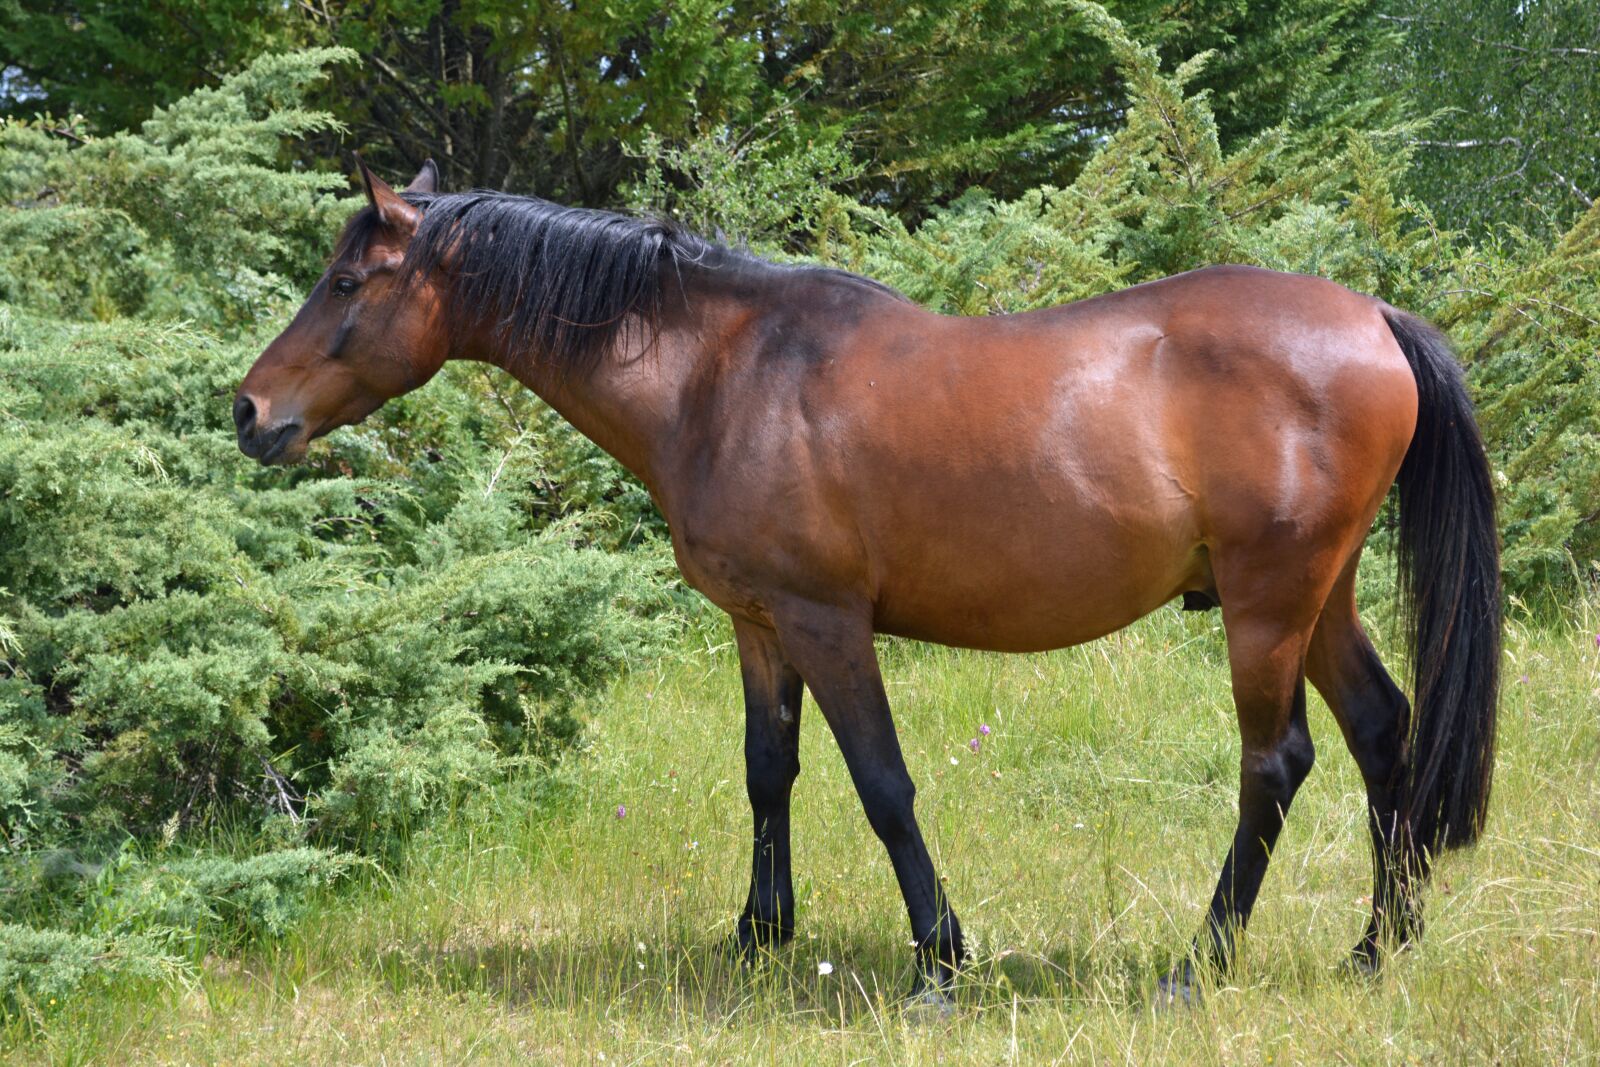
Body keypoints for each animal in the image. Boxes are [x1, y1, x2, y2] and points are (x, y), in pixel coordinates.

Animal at [235, 160, 1500, 1008]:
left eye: (346, 278)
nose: (250, 411)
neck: (719, 373)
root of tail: (1372, 316)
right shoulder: (759, 624)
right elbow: (768, 771)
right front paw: (758, 935)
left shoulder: (827, 622)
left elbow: (882, 783)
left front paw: (940, 958)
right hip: (1319, 598)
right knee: (1383, 733)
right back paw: (1376, 947)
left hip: (1265, 604)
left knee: (1274, 763)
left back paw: (1201, 962)